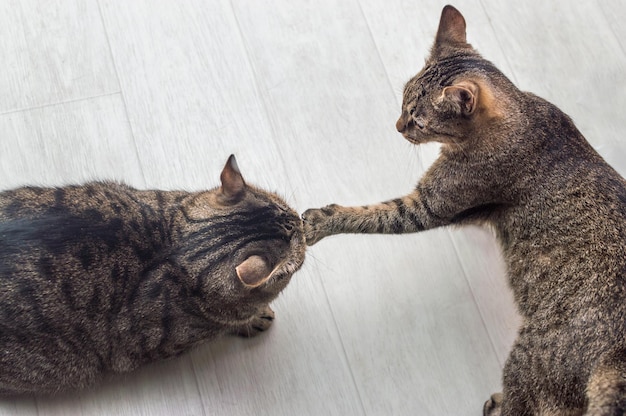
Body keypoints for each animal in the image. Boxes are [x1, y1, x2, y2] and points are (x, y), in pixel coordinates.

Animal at [302, 5, 624, 416]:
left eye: (418, 120)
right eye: (402, 101)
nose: (397, 126)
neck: (523, 116)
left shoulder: (429, 206)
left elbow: (373, 213)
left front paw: (319, 221)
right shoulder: (464, 208)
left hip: (530, 359)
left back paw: (498, 404)